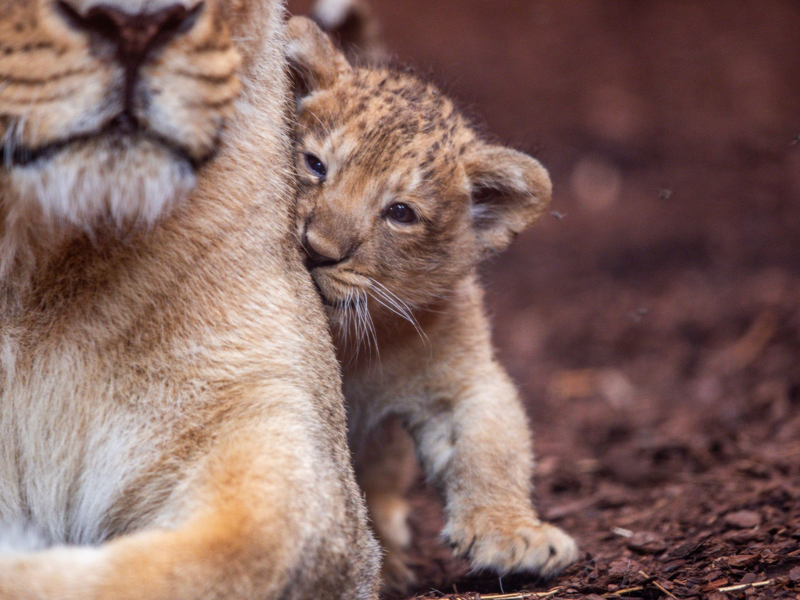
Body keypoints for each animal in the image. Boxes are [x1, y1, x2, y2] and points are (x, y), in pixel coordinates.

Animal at [286, 16, 578, 591]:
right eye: (315, 164)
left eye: (400, 213)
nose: (317, 250)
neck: (352, 345)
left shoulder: (458, 377)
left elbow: (492, 448)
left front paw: (514, 536)